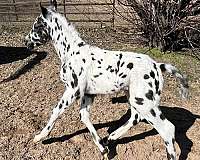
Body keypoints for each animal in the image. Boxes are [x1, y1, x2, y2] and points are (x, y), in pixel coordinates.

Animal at [24, 0, 188, 159]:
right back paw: (111, 137)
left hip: (143, 102)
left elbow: (56, 111)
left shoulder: (73, 90)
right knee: (135, 117)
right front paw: (103, 148)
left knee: (167, 129)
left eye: (37, 25)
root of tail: (157, 66)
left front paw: (40, 136)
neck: (72, 52)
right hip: (134, 97)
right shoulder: (88, 94)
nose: (26, 42)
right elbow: (84, 116)